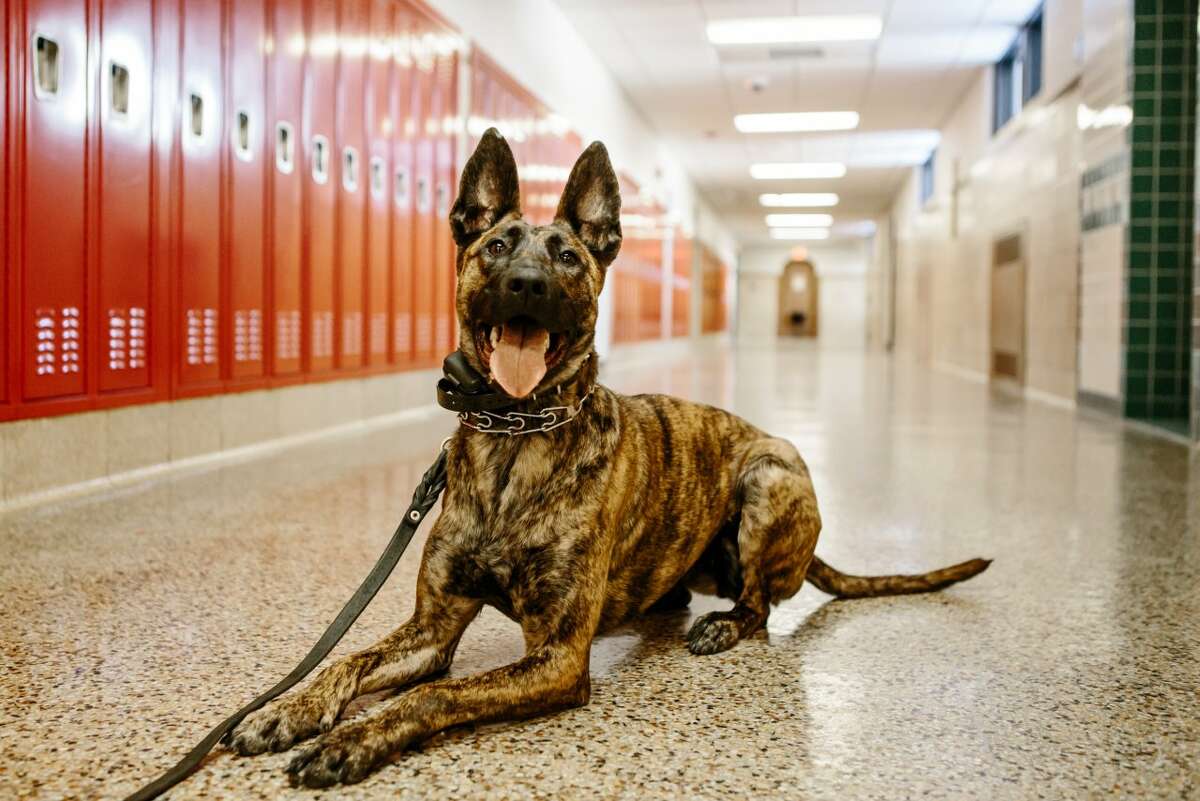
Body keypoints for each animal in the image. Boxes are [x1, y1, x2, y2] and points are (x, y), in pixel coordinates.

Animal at [229, 128, 988, 786]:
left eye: (568, 257)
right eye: (496, 246)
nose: (528, 282)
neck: (516, 434)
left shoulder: (559, 657)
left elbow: (433, 698)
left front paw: (353, 739)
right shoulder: (432, 628)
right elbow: (348, 658)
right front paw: (286, 708)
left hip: (770, 475)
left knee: (762, 603)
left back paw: (722, 624)